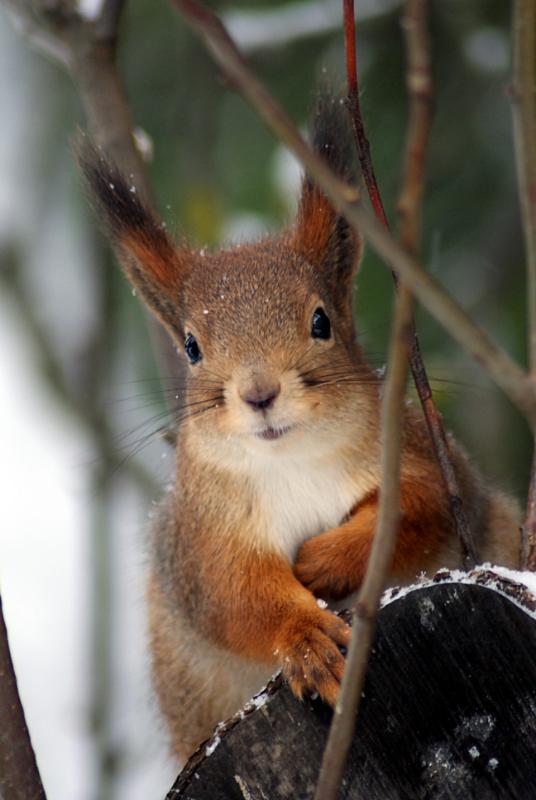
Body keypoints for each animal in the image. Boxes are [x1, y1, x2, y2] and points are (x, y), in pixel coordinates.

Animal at [79, 94, 521, 762]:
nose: (260, 393)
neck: (290, 461)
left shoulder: (426, 460)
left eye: (321, 322)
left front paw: (322, 561)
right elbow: (237, 597)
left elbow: (417, 513)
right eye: (191, 347)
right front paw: (307, 636)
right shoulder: (202, 541)